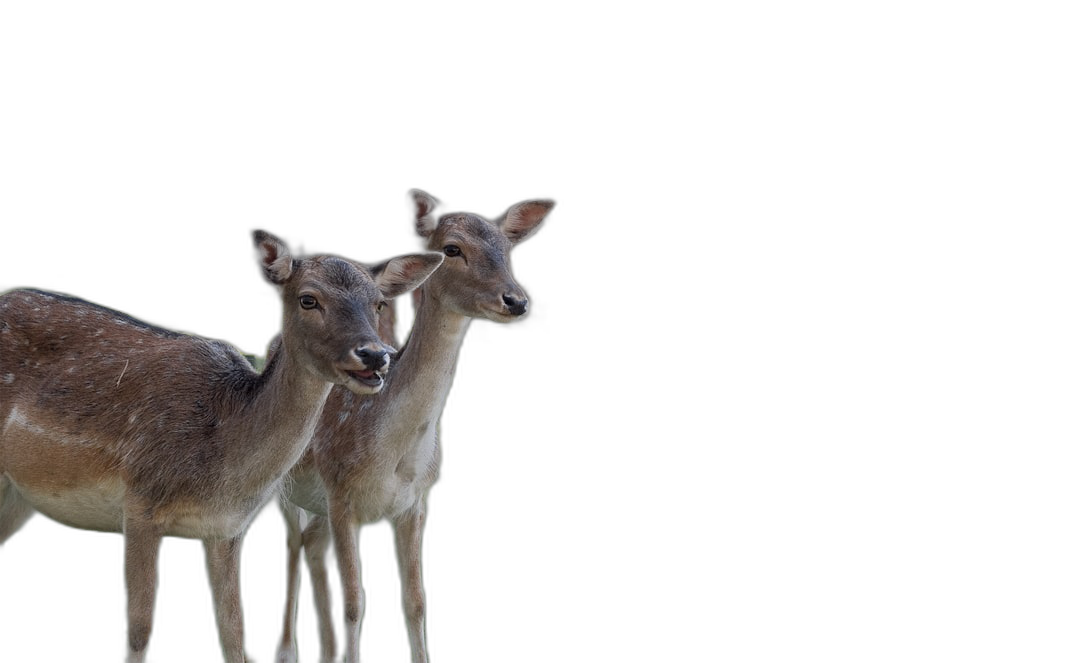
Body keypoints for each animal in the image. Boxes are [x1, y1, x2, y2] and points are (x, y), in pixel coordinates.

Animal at [0, 229, 444, 663]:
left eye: (378, 303)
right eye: (308, 299)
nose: (374, 355)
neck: (221, 465)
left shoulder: (226, 527)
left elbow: (234, 634)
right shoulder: (140, 501)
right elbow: (139, 630)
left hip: (17, 494)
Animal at [276, 191, 557, 663]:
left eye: (507, 249)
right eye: (452, 249)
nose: (516, 300)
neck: (392, 452)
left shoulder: (415, 501)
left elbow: (417, 600)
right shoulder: (340, 494)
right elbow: (356, 600)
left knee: (312, 550)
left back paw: (326, 651)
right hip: (286, 487)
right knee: (294, 550)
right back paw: (286, 650)